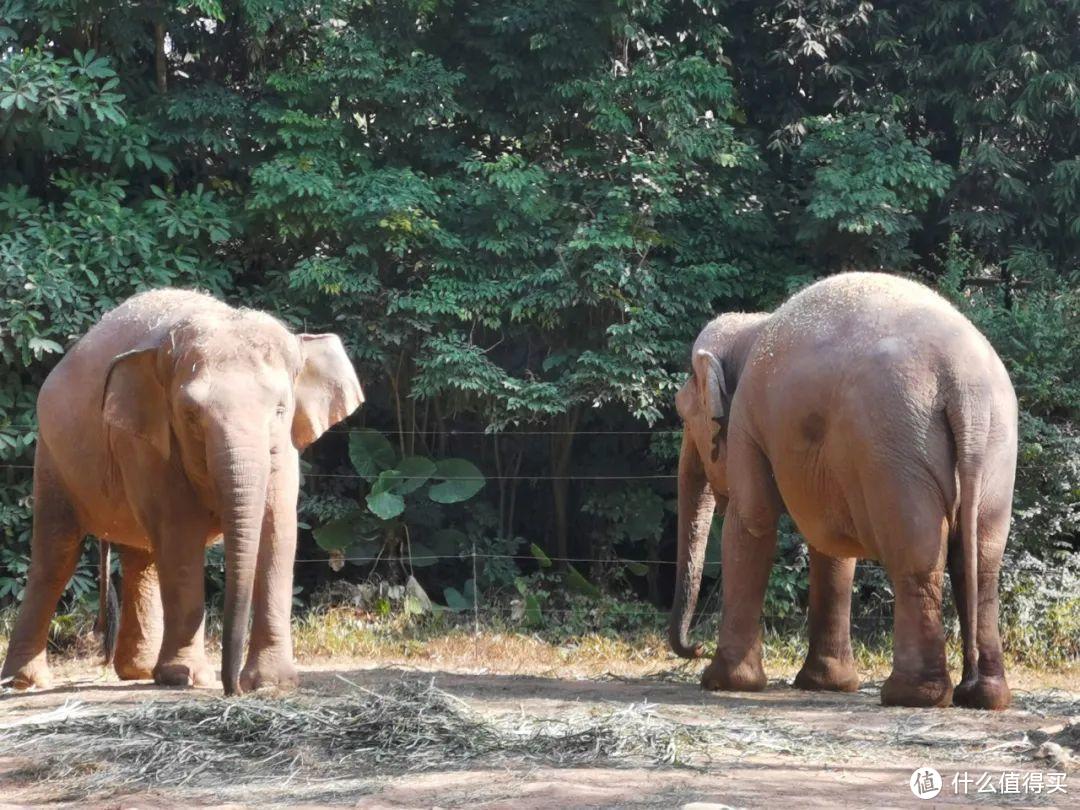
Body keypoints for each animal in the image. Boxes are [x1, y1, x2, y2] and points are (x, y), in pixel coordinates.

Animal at [0, 289, 365, 699]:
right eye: (191, 415)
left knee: (140, 558)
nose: (233, 688)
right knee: (57, 553)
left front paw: (273, 683)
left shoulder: (285, 453)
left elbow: (279, 534)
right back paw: (23, 682)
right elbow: (180, 535)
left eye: (280, 410)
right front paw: (186, 677)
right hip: (50, 453)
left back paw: (139, 670)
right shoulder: (148, 442)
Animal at [669, 273, 1015, 708]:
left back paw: (910, 695)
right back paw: (981, 695)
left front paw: (723, 682)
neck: (752, 325)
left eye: (685, 416)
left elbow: (751, 521)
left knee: (916, 558)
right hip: (994, 448)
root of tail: (963, 385)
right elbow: (829, 542)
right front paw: (826, 683)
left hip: (895, 444)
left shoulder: (748, 418)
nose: (694, 647)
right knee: (981, 563)